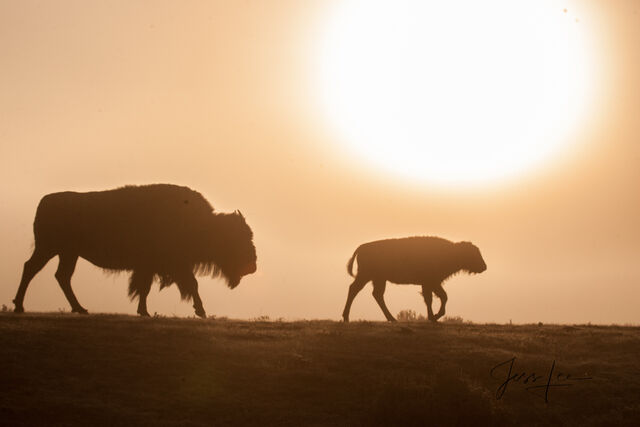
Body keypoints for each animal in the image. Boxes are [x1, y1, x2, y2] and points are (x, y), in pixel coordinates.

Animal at [13, 184, 258, 318]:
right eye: (239, 238)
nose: (253, 266)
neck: (202, 224)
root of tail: (45, 201)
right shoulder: (170, 266)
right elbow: (188, 285)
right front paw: (201, 311)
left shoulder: (155, 267)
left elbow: (146, 288)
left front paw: (144, 311)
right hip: (49, 249)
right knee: (32, 269)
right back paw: (19, 306)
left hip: (67, 253)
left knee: (61, 276)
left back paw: (80, 308)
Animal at [344, 236, 484, 322]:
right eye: (474, 253)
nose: (484, 266)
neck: (451, 252)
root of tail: (362, 247)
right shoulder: (430, 282)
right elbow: (437, 298)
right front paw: (434, 317)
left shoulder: (431, 283)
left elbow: (437, 297)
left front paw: (433, 317)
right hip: (366, 276)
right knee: (354, 290)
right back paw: (346, 317)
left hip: (378, 279)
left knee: (376, 294)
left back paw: (392, 318)